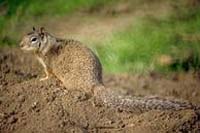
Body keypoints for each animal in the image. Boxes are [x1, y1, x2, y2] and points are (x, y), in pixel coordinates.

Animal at [19, 27, 196, 112]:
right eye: (25, 35)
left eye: (33, 39)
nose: (19, 45)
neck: (46, 46)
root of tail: (95, 83)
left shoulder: (47, 66)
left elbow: (48, 74)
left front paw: (42, 79)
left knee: (83, 93)